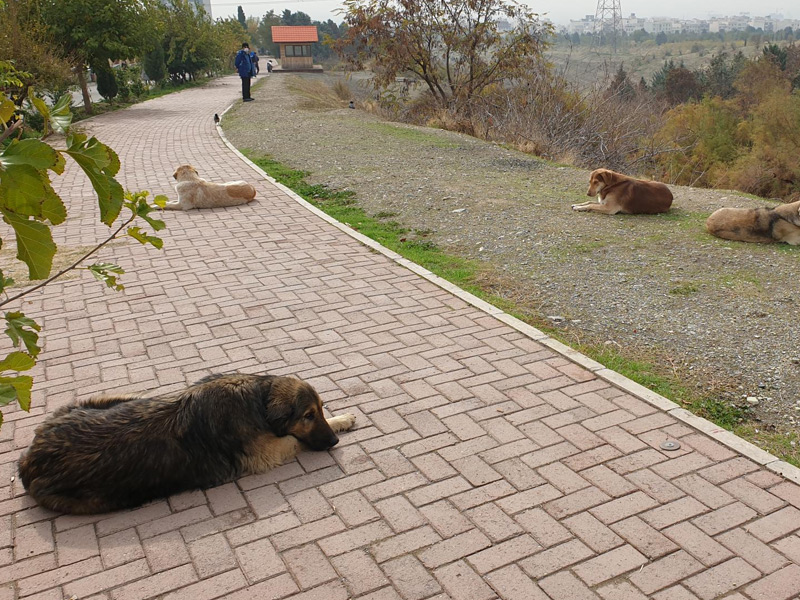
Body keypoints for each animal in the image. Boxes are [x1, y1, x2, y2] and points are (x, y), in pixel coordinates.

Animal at [18, 372, 356, 512]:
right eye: (308, 415)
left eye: (320, 409)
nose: (333, 441)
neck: (258, 401)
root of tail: (28, 458)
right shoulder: (265, 452)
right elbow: (294, 439)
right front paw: (341, 421)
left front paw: (342, 418)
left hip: (117, 398)